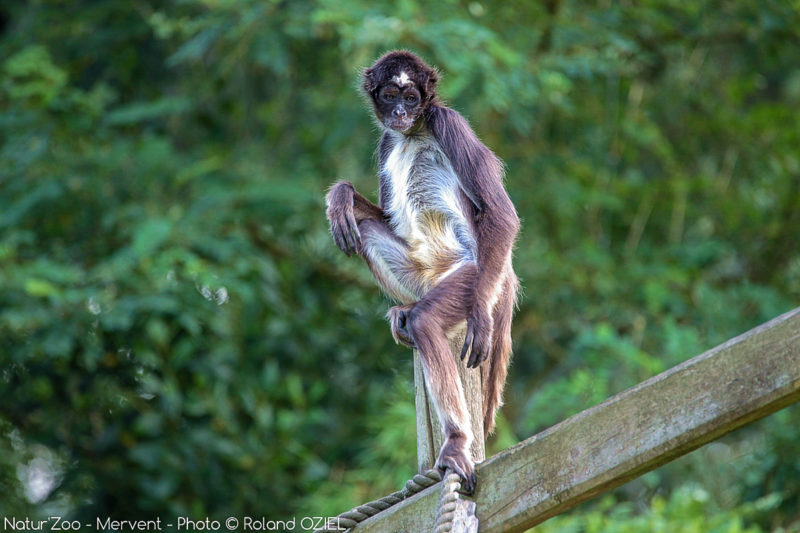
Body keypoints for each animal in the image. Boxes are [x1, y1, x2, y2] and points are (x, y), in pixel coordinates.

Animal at [324, 51, 520, 494]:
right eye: (390, 95)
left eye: (412, 98)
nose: (399, 113)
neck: (412, 133)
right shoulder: (386, 142)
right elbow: (377, 216)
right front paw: (340, 195)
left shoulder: (448, 122)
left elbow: (501, 214)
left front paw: (479, 317)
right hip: (421, 276)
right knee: (364, 229)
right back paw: (405, 308)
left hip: (474, 274)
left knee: (429, 320)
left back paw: (457, 440)